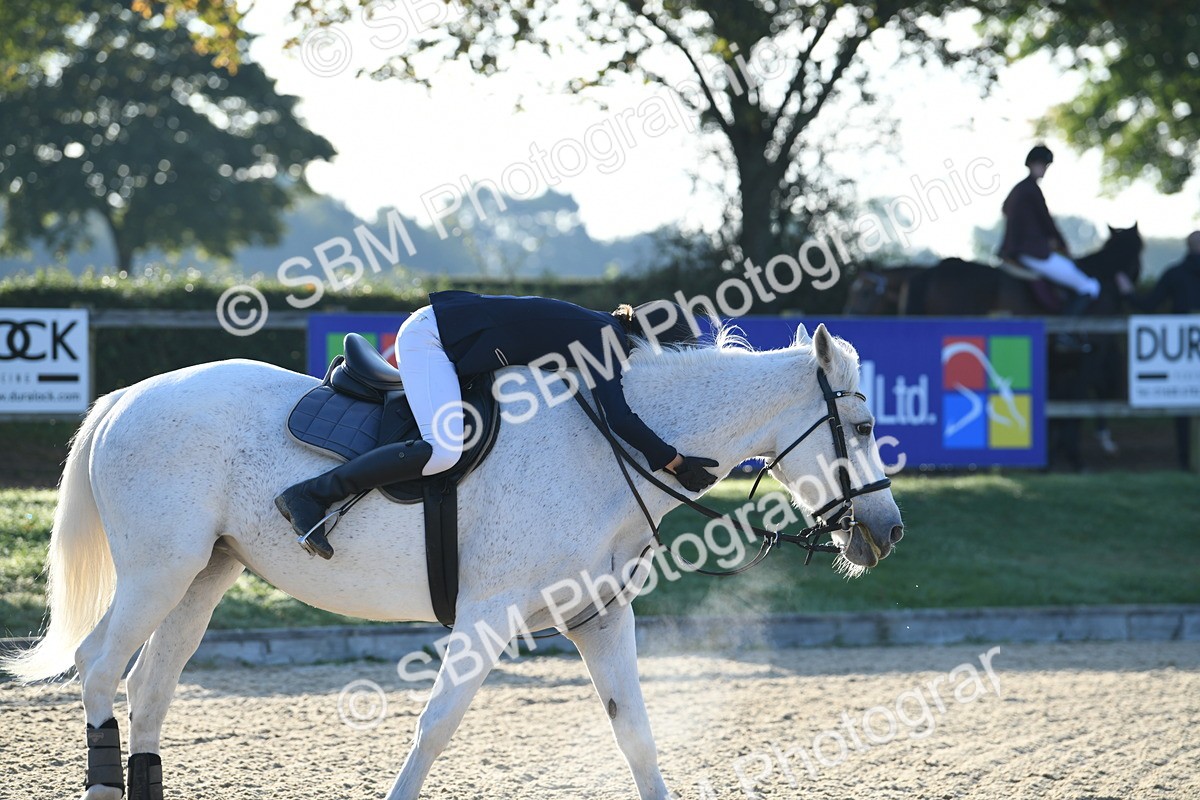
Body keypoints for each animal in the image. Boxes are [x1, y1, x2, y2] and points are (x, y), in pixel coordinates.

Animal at [2, 323, 903, 800]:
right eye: (860, 429)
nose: (887, 532)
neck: (611, 438)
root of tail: (130, 396)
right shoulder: (487, 616)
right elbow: (435, 728)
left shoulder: (599, 616)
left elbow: (638, 738)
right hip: (159, 572)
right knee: (99, 671)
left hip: (202, 577)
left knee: (150, 690)